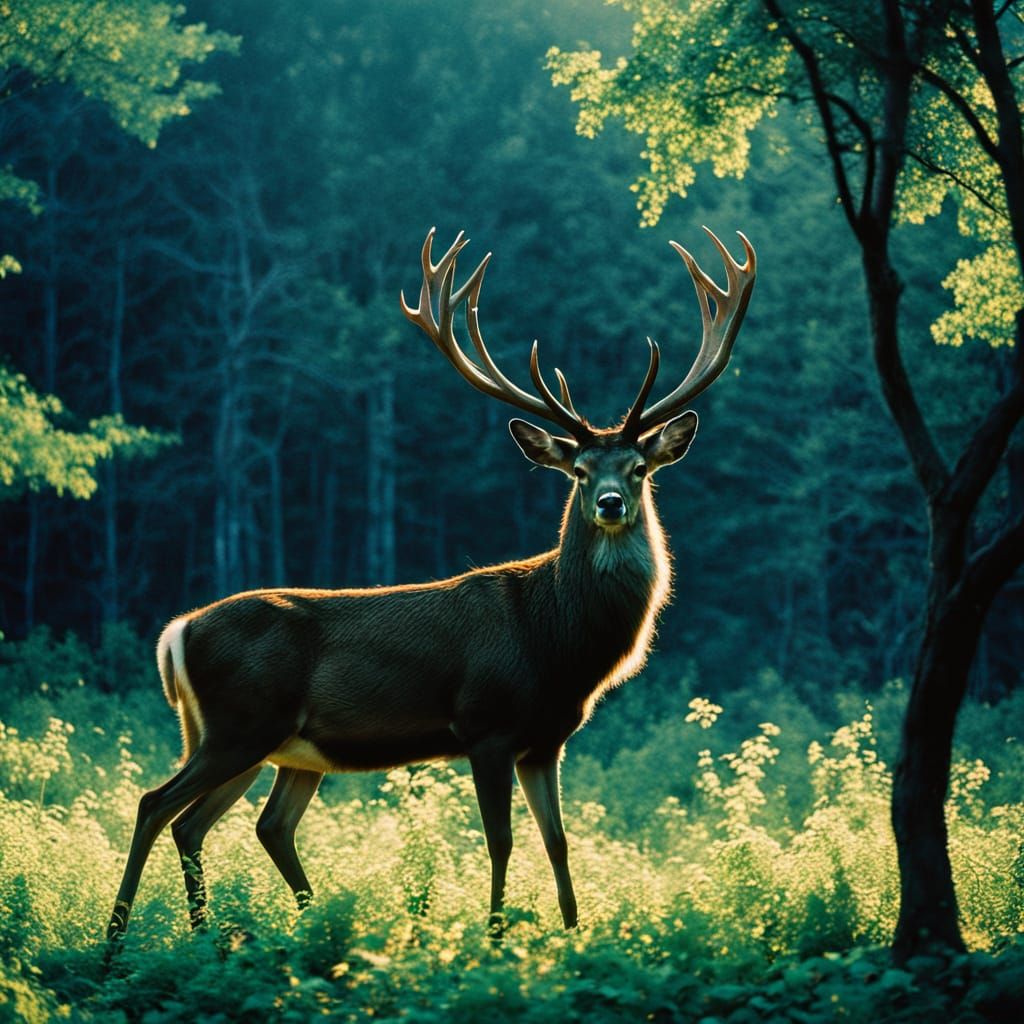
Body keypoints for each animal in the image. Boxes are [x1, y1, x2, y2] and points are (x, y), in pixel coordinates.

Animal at [105, 226, 755, 946]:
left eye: (639, 468)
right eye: (580, 471)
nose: (611, 503)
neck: (557, 643)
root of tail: (176, 632)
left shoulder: (546, 741)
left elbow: (559, 842)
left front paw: (573, 936)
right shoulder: (485, 723)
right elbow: (500, 841)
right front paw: (496, 939)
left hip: (272, 745)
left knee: (236, 824)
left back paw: (249, 930)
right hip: (239, 722)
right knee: (156, 803)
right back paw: (119, 940)